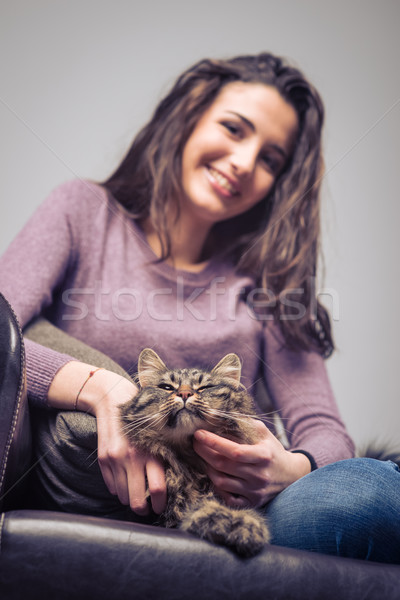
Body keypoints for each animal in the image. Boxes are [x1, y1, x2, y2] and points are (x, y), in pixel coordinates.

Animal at [120, 346, 270, 556]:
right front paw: (219, 520)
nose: (184, 394)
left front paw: (243, 524)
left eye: (205, 388)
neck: (190, 462)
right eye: (167, 387)